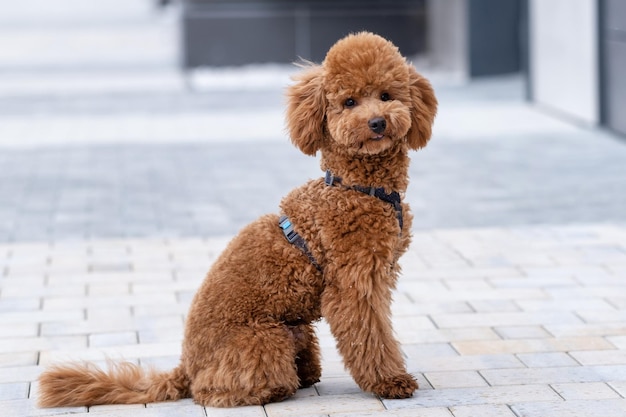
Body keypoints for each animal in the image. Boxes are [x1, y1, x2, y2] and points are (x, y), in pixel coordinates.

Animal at [37, 31, 434, 406]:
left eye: (386, 95)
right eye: (349, 102)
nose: (378, 122)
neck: (357, 185)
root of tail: (186, 366)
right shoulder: (354, 283)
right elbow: (371, 335)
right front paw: (390, 381)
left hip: (294, 329)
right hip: (265, 338)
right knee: (214, 389)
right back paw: (269, 389)